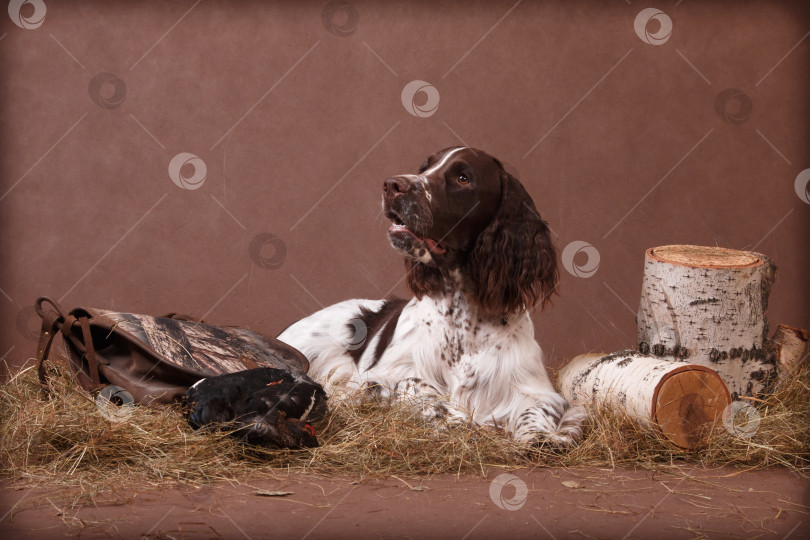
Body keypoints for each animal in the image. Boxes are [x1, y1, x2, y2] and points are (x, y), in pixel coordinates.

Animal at [276, 146, 580, 446]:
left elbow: (538, 410)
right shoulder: (382, 375)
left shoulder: (536, 389)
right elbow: (417, 387)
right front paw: (457, 421)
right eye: (424, 167)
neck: (462, 316)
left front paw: (540, 437)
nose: (392, 185)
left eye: (463, 178)